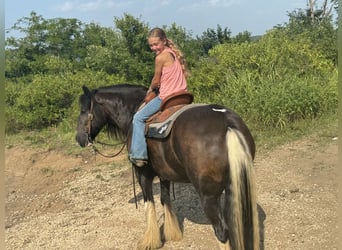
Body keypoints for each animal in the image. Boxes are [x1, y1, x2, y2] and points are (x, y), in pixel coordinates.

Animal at [75, 84, 260, 250]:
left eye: (83, 110)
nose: (79, 139)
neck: (133, 112)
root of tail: (227, 124)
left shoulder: (142, 174)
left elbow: (149, 202)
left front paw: (150, 241)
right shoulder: (165, 174)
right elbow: (165, 199)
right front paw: (173, 233)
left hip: (208, 196)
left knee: (221, 231)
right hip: (234, 187)